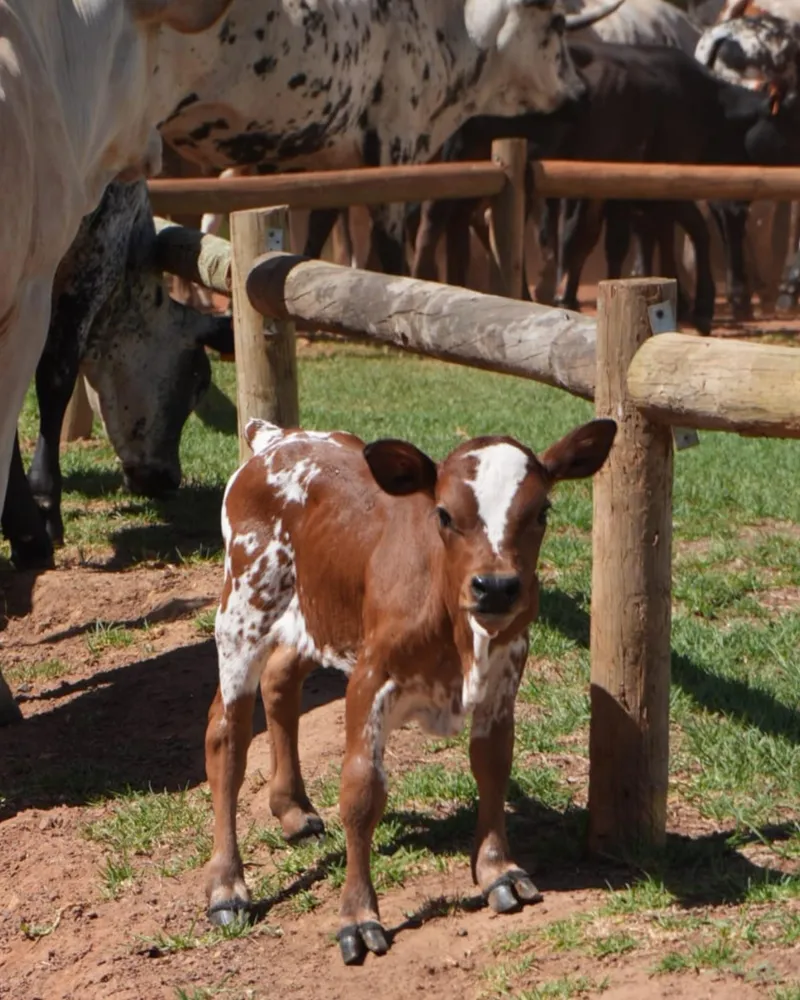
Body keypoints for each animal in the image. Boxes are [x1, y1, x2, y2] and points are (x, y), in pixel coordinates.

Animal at [204, 416, 616, 963]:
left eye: (541, 511)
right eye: (444, 514)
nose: (496, 587)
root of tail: (277, 437)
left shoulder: (503, 678)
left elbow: (493, 765)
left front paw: (496, 871)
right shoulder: (369, 679)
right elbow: (361, 792)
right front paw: (358, 916)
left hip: (319, 614)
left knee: (280, 683)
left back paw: (293, 809)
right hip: (244, 607)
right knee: (226, 734)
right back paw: (227, 886)